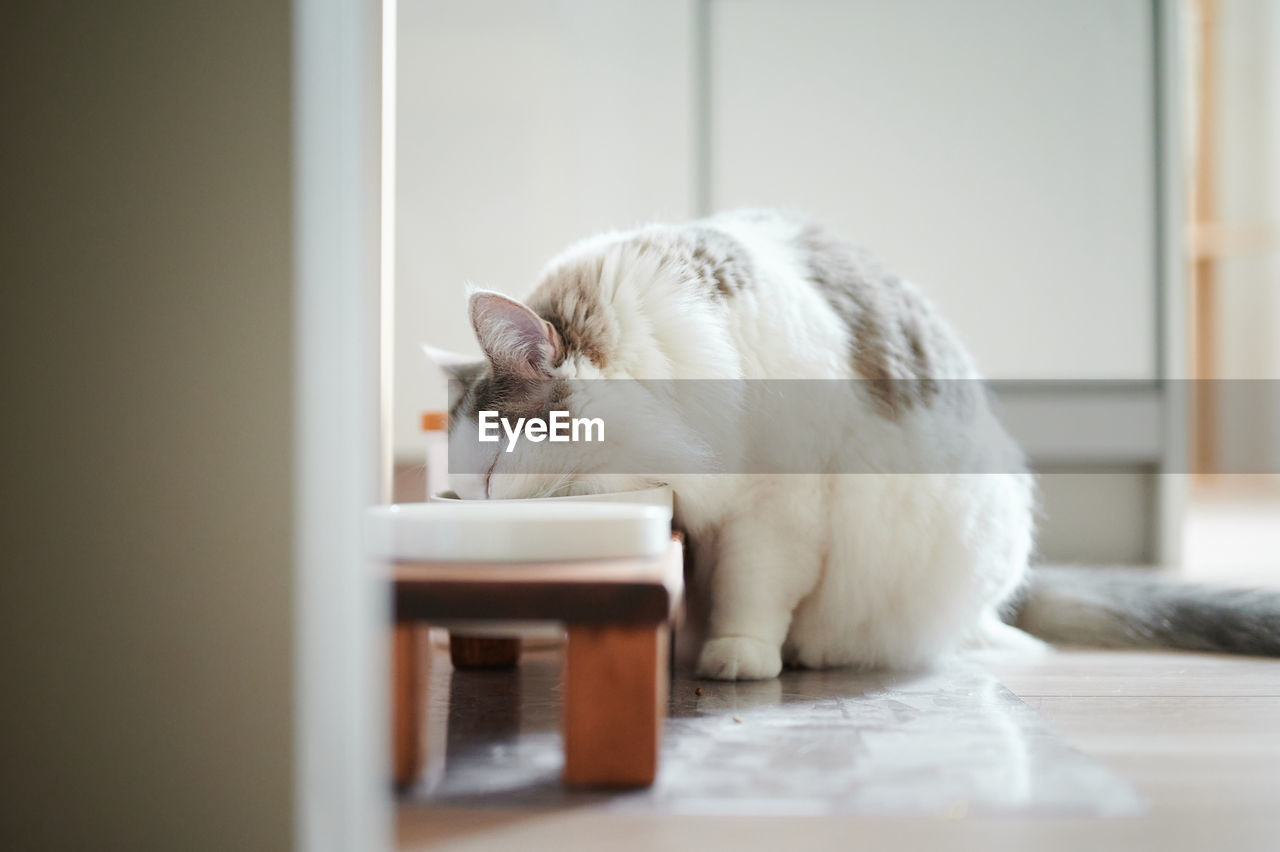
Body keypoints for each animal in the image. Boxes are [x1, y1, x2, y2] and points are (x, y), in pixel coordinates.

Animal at [427, 207, 1280, 675]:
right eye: (459, 492)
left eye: (496, 468)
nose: (478, 513)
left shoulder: (775, 504)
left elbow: (753, 588)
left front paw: (737, 656)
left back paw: (817, 652)